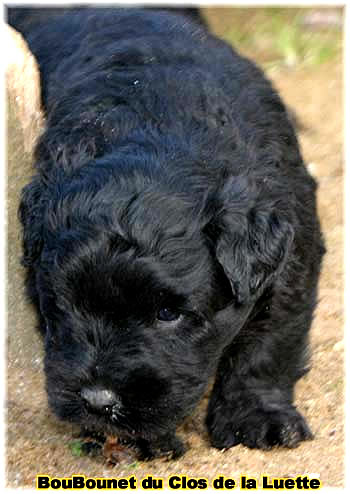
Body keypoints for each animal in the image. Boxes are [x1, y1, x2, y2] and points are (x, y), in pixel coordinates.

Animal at [8, 8, 326, 460]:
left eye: (168, 314)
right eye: (65, 304)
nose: (99, 402)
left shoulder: (293, 254)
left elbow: (269, 344)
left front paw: (258, 418)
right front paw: (141, 439)